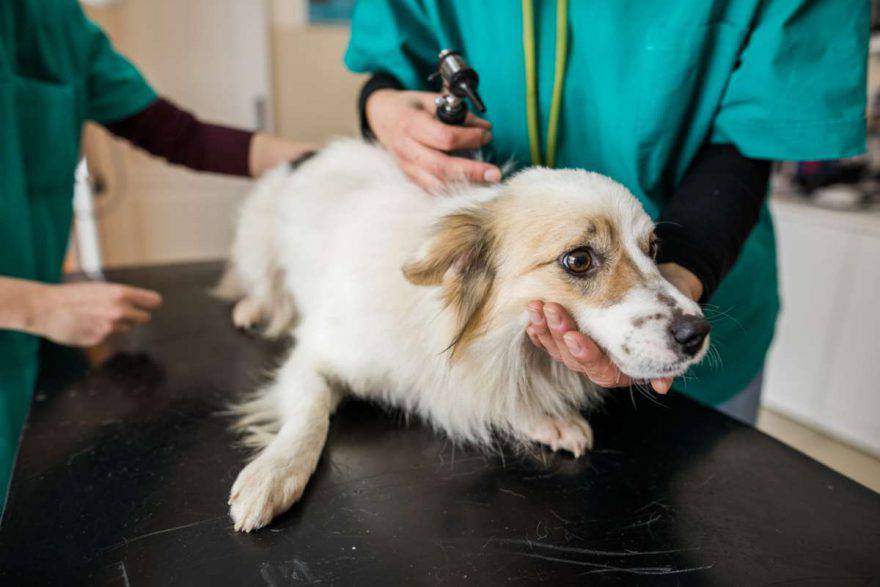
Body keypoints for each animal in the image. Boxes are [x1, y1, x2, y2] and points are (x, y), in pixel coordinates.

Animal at [218, 141, 708, 532]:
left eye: (653, 250)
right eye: (579, 260)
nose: (698, 333)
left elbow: (497, 394)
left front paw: (542, 417)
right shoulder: (317, 356)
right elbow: (310, 417)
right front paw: (274, 473)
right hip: (258, 247)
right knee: (263, 287)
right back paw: (252, 308)